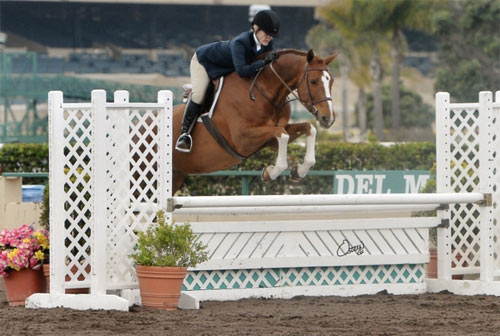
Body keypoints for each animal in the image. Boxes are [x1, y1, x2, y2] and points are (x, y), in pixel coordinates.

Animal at [171, 48, 336, 193]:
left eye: (332, 81)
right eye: (313, 81)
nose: (328, 118)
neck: (264, 92)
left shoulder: (270, 139)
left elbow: (308, 128)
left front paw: (298, 171)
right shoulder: (243, 139)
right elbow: (282, 134)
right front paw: (270, 173)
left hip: (176, 175)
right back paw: (183, 141)